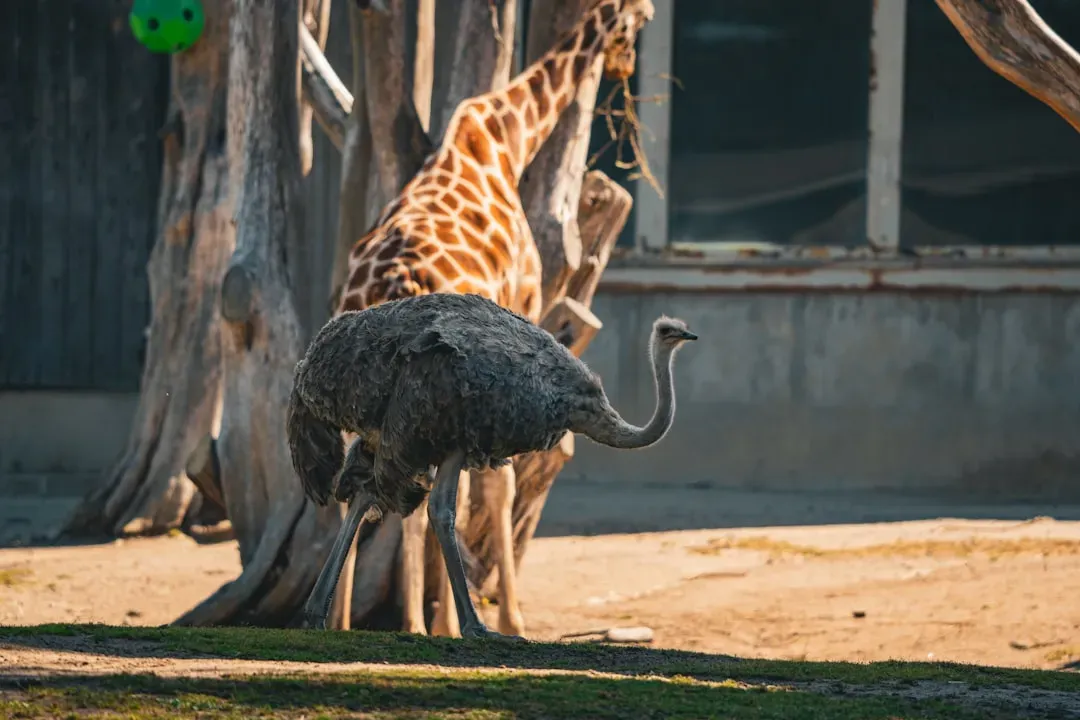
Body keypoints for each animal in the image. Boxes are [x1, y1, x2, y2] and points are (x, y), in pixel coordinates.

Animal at [333, 0, 655, 638]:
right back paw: (422, 623)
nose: (625, 65)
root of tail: (388, 283)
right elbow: (499, 483)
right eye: (639, 23)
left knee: (357, 480)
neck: (509, 139)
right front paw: (507, 615)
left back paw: (340, 619)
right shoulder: (523, 308)